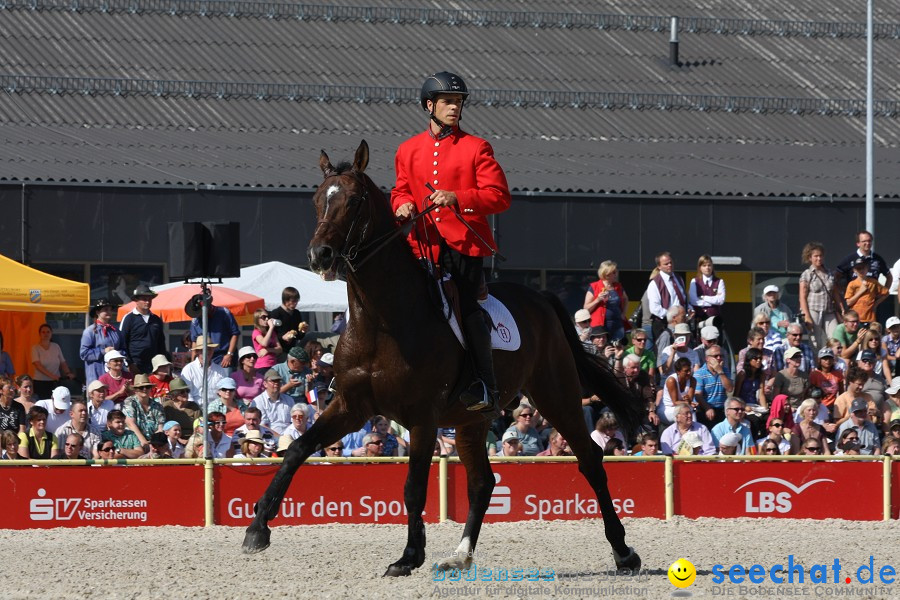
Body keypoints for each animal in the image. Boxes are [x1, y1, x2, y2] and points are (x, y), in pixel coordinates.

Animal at [243, 139, 644, 576]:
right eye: (318, 199)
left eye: (353, 201)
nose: (320, 255)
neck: (381, 321)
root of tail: (541, 298)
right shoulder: (351, 407)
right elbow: (297, 450)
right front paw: (258, 527)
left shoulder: (422, 416)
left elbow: (414, 486)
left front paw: (408, 555)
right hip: (473, 419)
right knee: (483, 483)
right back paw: (460, 555)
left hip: (556, 395)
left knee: (590, 460)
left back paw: (624, 551)